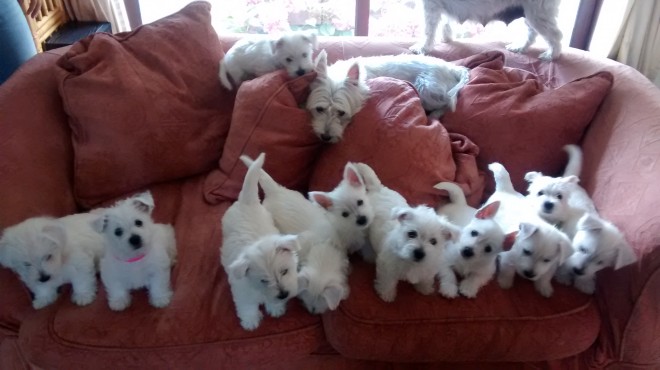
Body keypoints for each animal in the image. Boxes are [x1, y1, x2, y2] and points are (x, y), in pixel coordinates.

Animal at [222, 153, 300, 330]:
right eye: (263, 280)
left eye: (285, 271)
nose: (284, 294)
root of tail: (247, 201)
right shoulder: (242, 291)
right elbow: (247, 306)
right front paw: (250, 321)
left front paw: (276, 308)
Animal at [306, 49, 466, 142]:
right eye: (319, 109)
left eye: (341, 112)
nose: (325, 137)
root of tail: (452, 68)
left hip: (426, 88)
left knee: (446, 103)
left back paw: (434, 114)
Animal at [412, 0, 564, 60]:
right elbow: (445, 23)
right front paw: (447, 38)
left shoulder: (429, 6)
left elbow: (428, 29)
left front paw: (422, 48)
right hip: (529, 13)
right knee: (532, 33)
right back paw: (520, 47)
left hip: (537, 12)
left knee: (555, 35)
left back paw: (551, 55)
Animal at [488, 162, 576, 298]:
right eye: (526, 252)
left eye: (546, 260)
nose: (529, 274)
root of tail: (505, 189)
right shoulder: (508, 257)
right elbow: (507, 270)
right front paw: (505, 283)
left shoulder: (551, 266)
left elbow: (545, 277)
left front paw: (544, 288)